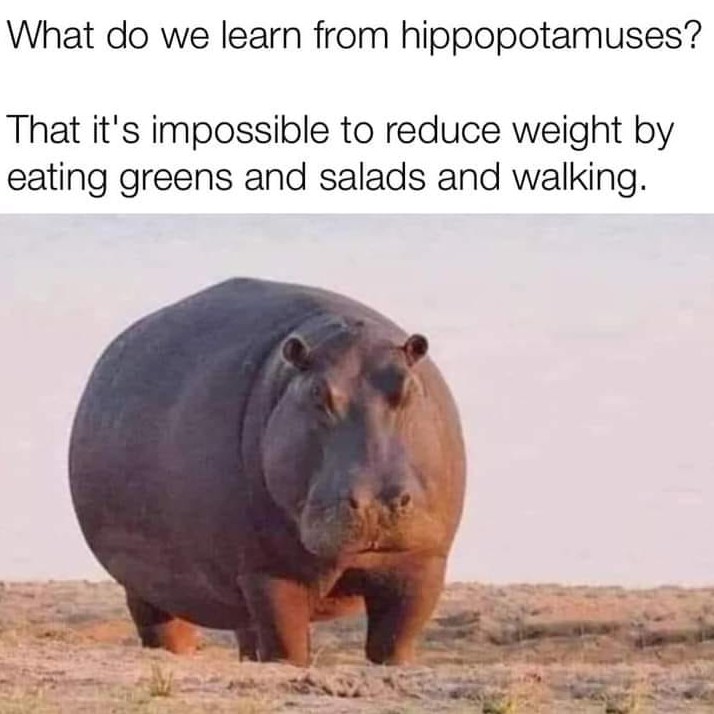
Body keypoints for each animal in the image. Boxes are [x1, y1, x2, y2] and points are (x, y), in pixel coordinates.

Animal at [69, 278, 466, 665]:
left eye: (408, 387)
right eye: (317, 392)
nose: (376, 505)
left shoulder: (423, 564)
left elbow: (395, 643)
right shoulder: (268, 572)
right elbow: (287, 646)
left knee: (246, 634)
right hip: (145, 584)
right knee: (165, 628)